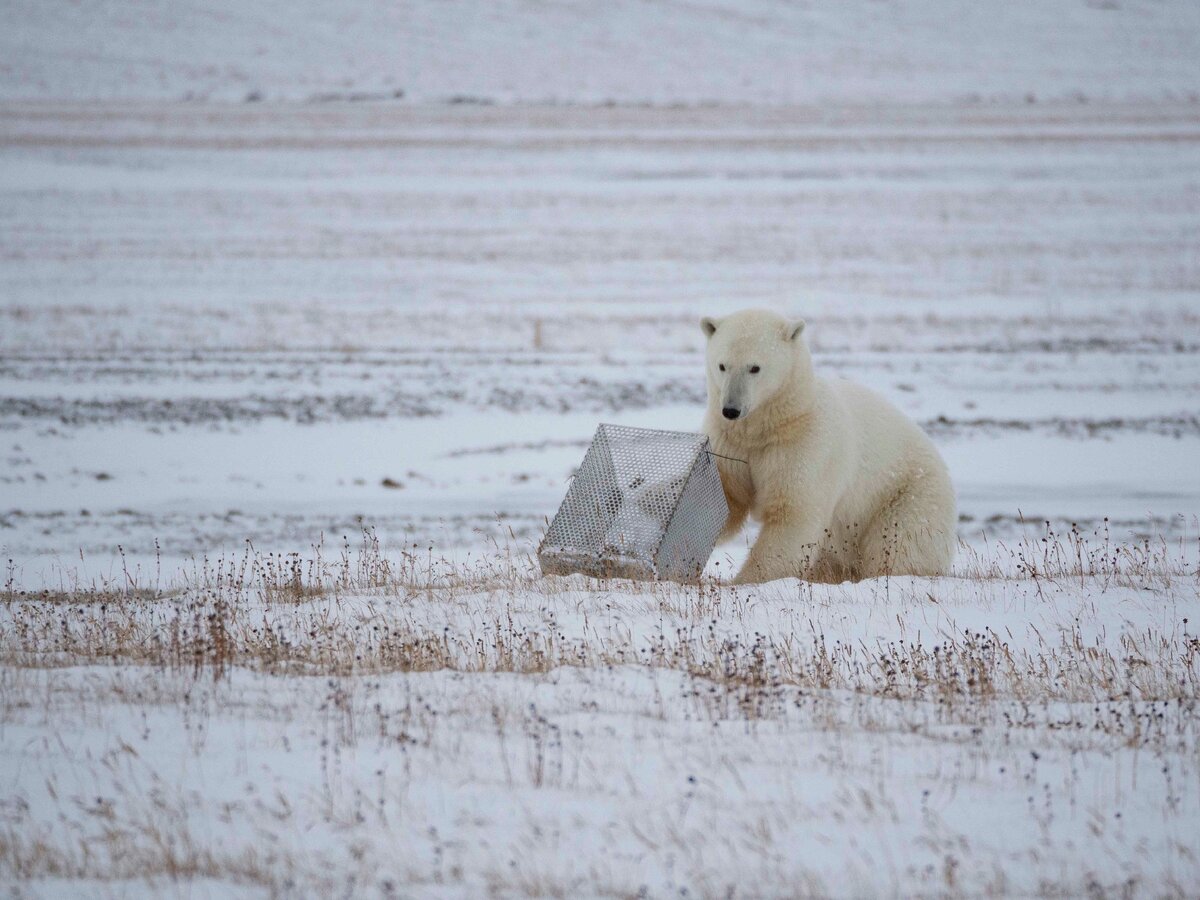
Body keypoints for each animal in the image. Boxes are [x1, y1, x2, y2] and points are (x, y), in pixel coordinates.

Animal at [700, 309, 950, 585]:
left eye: (755, 367)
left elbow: (794, 514)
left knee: (899, 544)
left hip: (905, 495)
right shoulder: (729, 443)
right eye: (722, 365)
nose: (731, 409)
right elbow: (724, 501)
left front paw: (746, 580)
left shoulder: (805, 447)